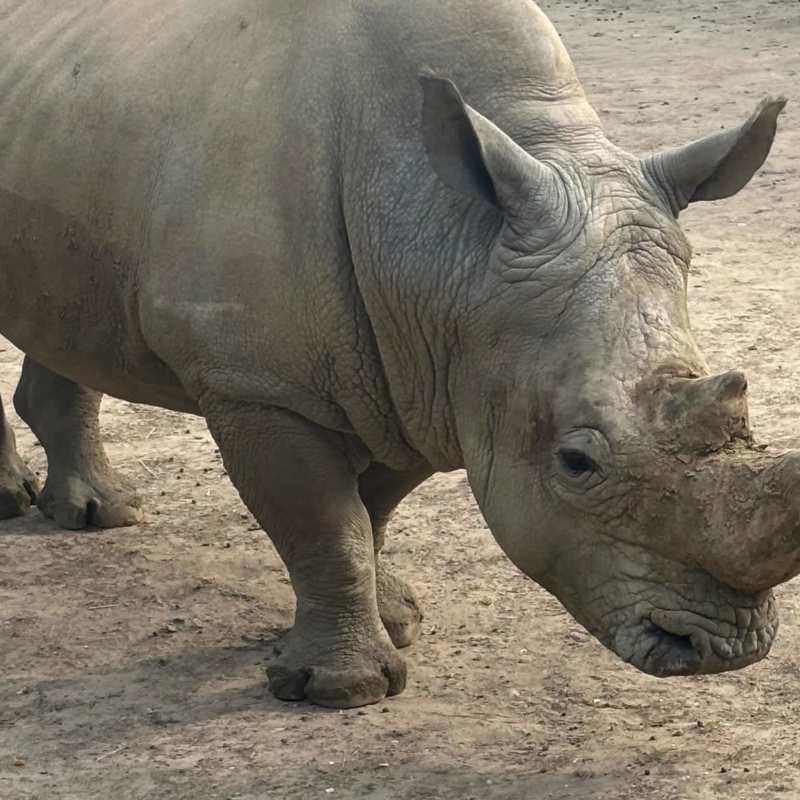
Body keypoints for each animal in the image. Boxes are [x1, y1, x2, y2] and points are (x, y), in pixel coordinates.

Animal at [0, 0, 795, 708]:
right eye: (576, 463)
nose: (724, 648)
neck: (449, 241)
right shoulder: (256, 384)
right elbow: (326, 524)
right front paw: (339, 690)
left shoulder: (424, 371)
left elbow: (372, 512)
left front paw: (397, 621)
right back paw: (21, 504)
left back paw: (99, 514)